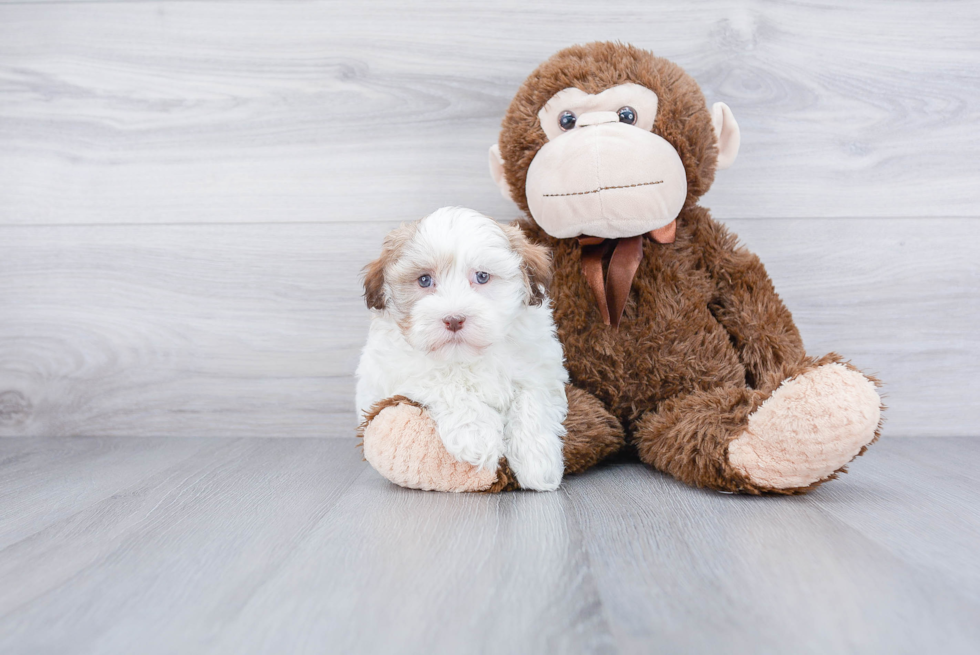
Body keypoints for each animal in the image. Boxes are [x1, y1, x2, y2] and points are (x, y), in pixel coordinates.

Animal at [354, 208, 568, 490]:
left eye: (482, 276)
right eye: (424, 280)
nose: (454, 319)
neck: (468, 355)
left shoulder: (539, 364)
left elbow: (533, 401)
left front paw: (538, 462)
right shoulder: (401, 367)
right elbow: (447, 384)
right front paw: (477, 435)